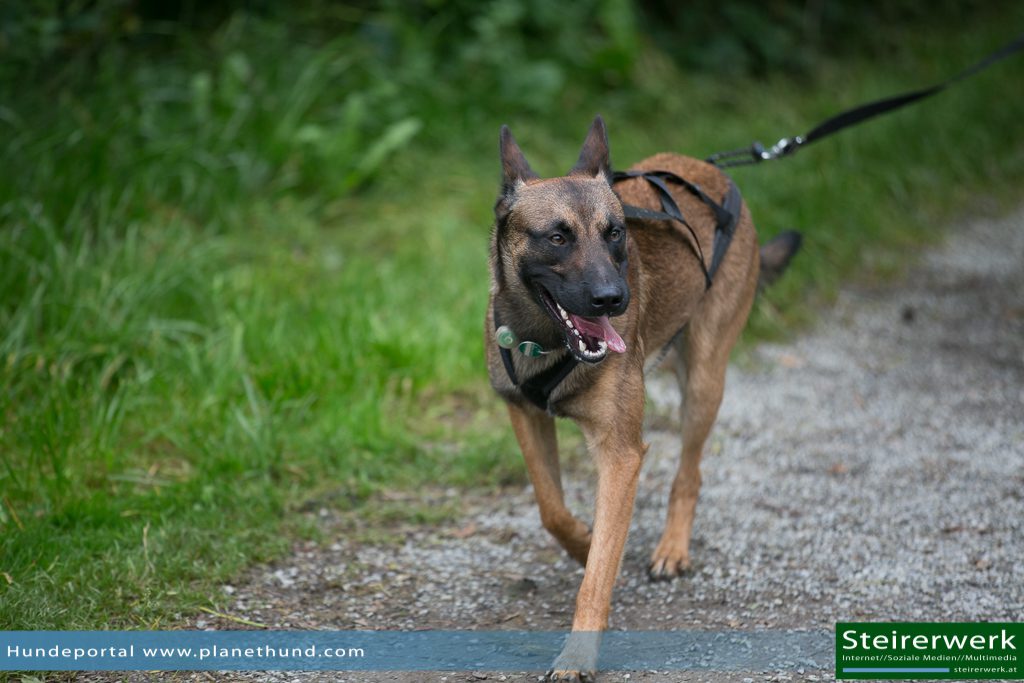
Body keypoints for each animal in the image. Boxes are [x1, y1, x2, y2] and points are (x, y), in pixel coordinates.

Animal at [485, 116, 798, 679]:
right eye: (557, 237)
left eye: (616, 233)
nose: (614, 298)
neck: (545, 337)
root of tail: (712, 172)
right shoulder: (526, 416)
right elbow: (552, 509)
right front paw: (585, 541)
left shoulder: (621, 454)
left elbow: (597, 575)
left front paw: (579, 653)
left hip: (704, 383)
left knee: (689, 475)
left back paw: (672, 548)